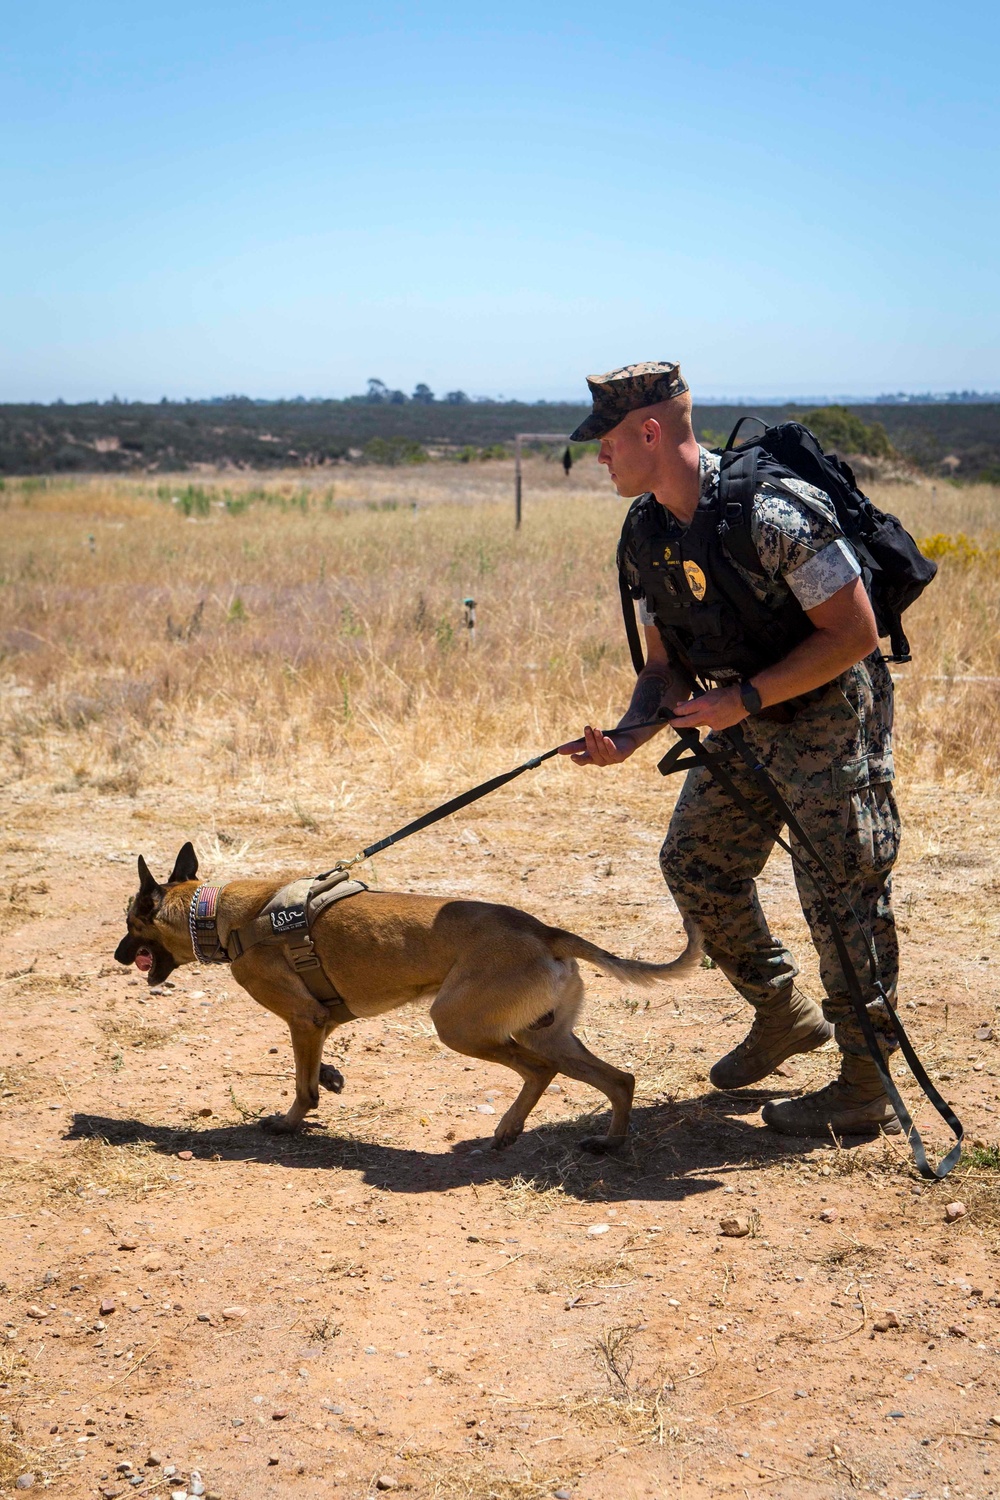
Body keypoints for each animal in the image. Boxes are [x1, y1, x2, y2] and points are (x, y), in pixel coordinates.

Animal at [115, 846, 704, 1146]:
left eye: (129, 923)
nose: (119, 957)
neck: (214, 913)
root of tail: (544, 930)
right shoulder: (319, 1021)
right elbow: (316, 1068)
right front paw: (329, 1079)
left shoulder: (302, 1018)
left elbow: (302, 1088)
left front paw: (288, 1123)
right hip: (545, 1033)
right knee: (619, 1080)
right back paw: (607, 1142)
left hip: (460, 1026)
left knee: (540, 1071)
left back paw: (512, 1129)